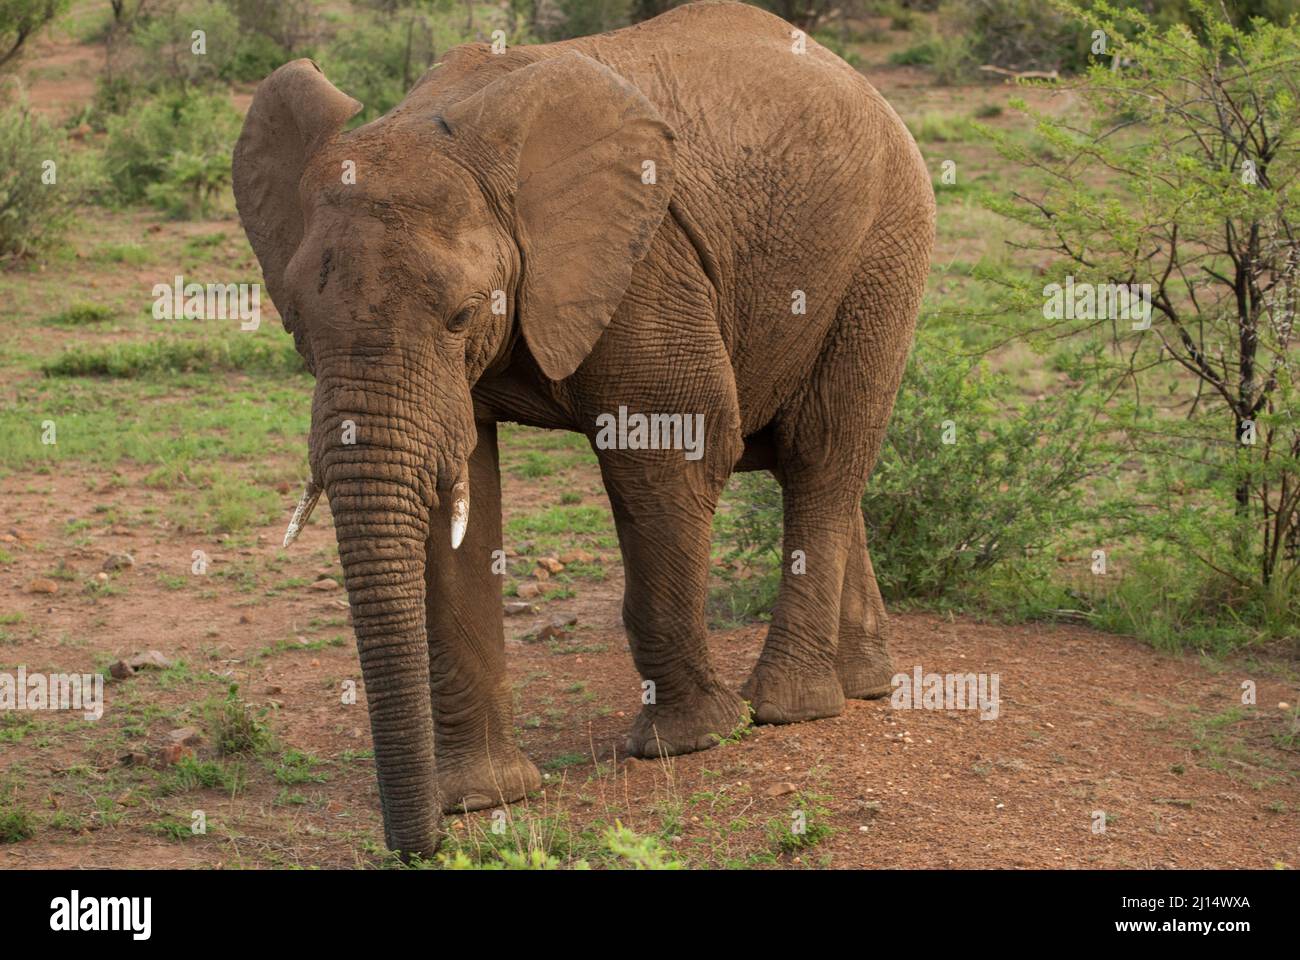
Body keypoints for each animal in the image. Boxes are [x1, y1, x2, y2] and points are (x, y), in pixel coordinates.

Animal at [233, 0, 935, 853]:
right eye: (295, 327)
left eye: (463, 314)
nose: (421, 845)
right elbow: (454, 500)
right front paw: (483, 798)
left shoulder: (647, 262)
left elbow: (673, 449)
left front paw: (693, 741)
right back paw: (863, 686)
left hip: (886, 242)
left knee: (822, 453)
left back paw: (787, 709)